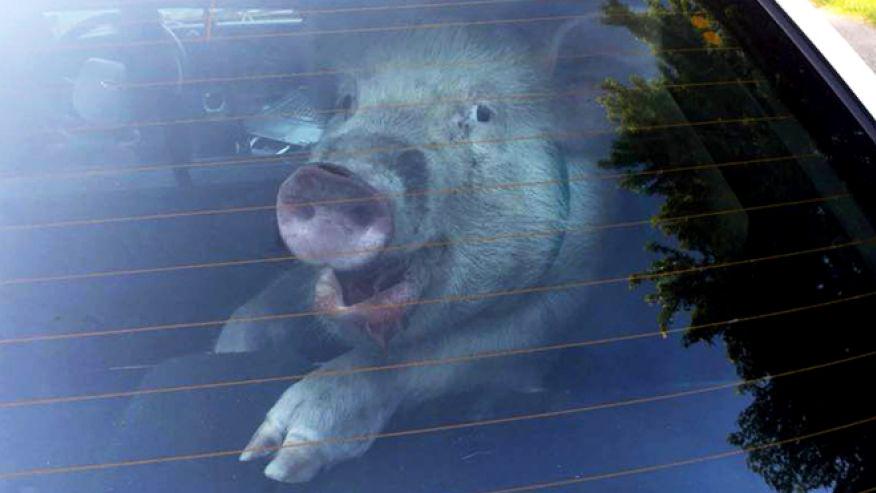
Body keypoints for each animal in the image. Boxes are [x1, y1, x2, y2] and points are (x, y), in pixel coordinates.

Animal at [214, 22, 606, 483]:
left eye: (482, 113)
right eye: (346, 102)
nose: (333, 180)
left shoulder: (564, 298)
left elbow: (446, 353)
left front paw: (276, 462)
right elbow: (269, 305)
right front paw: (228, 352)